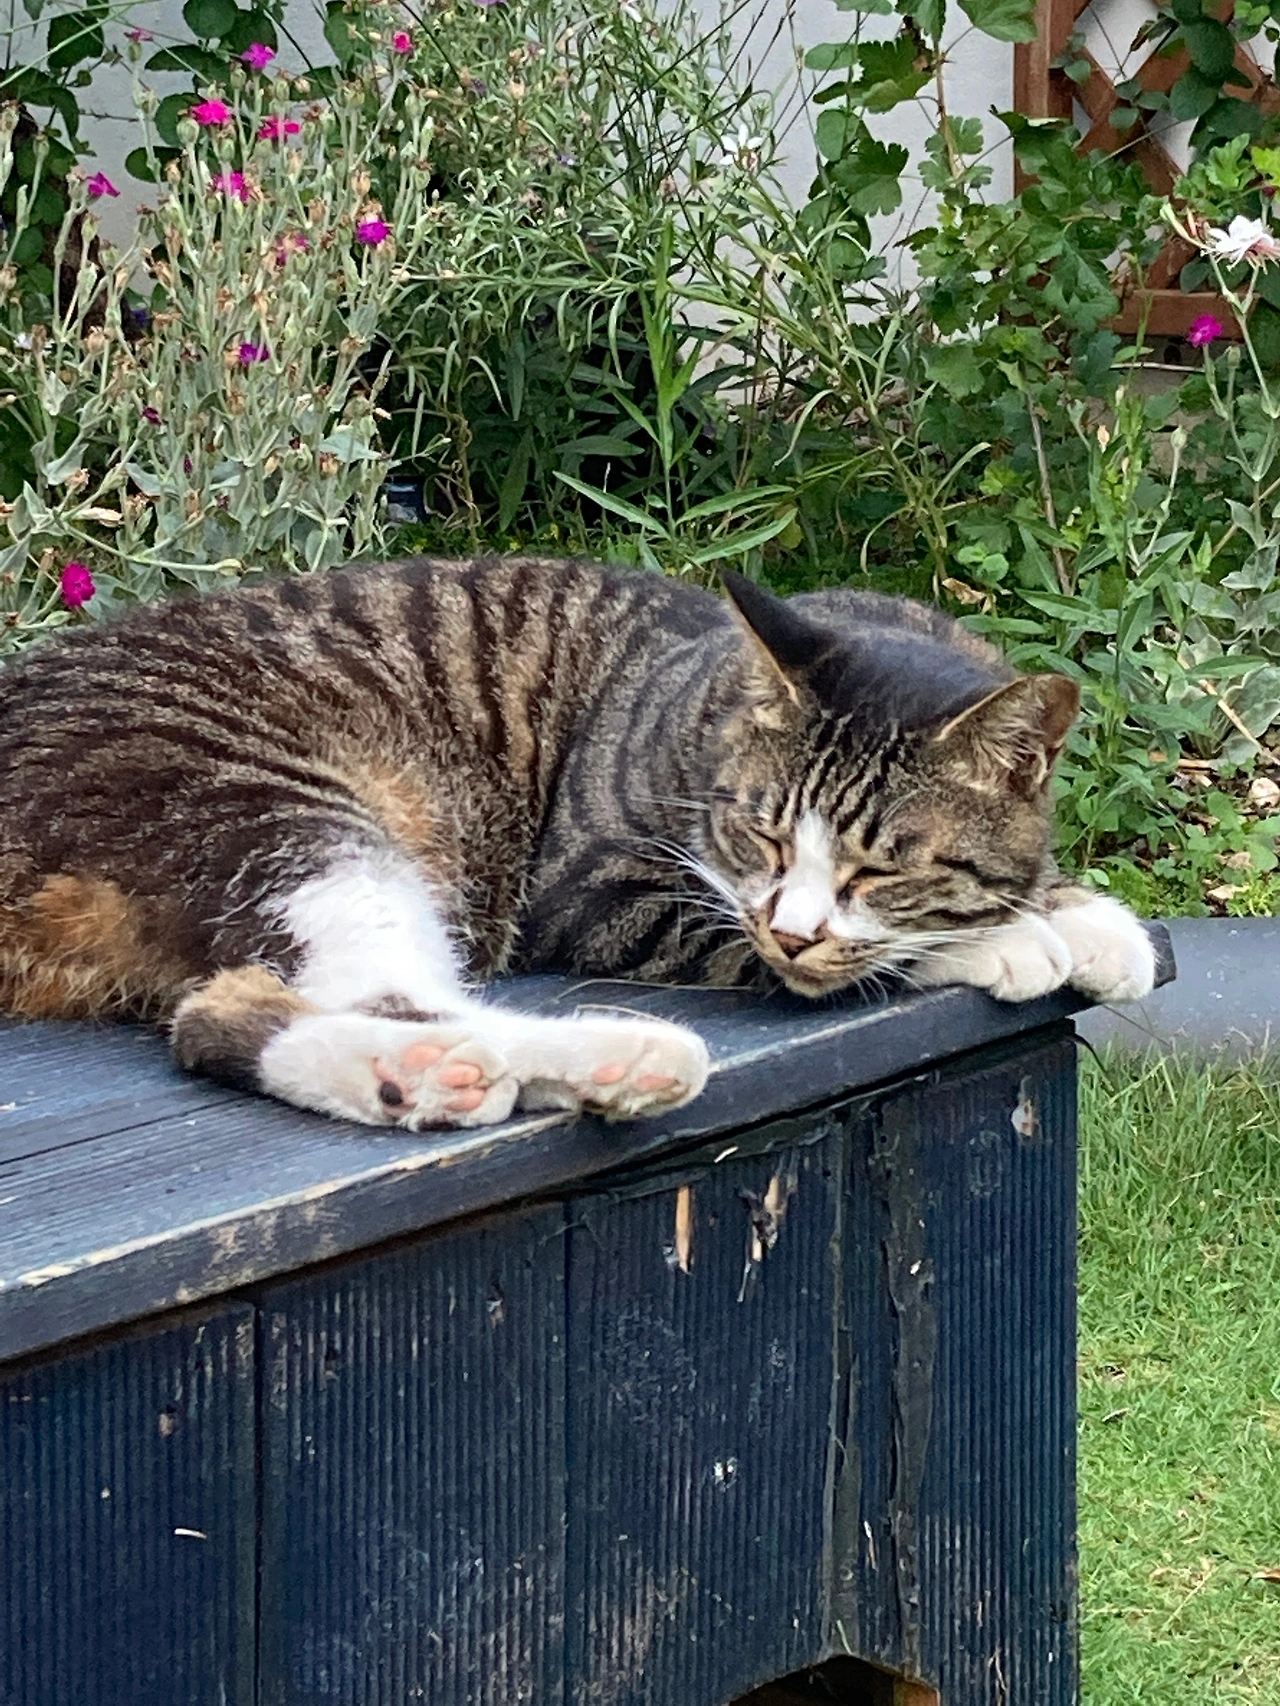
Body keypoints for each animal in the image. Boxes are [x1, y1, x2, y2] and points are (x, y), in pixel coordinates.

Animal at [0, 554, 1154, 1128]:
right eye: (761, 835)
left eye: (880, 866)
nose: (792, 925)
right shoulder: (592, 884)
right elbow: (774, 945)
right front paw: (1003, 938)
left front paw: (1086, 917)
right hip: (283, 816)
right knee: (385, 991)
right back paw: (589, 1054)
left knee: (219, 1010)